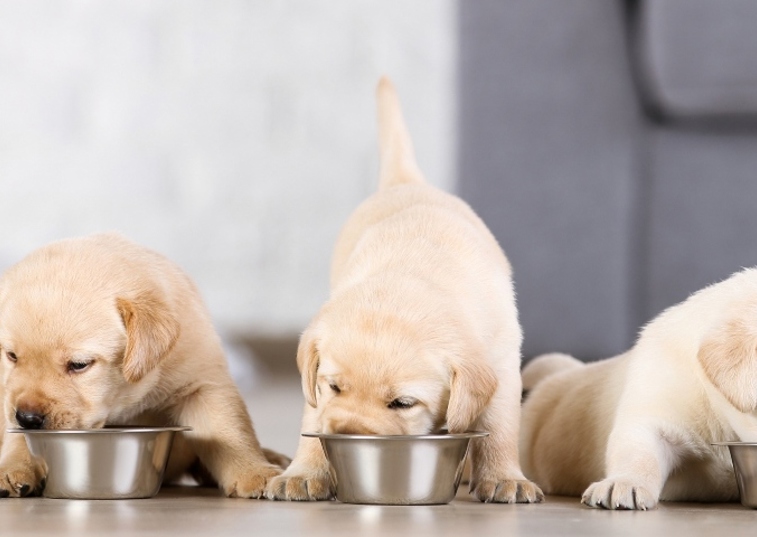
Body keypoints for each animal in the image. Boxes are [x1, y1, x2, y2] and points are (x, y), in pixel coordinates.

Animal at [0, 237, 290, 496]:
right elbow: (18, 436)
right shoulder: (8, 393)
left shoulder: (201, 384)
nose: (27, 418)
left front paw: (255, 472)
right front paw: (13, 468)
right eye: (12, 356)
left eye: (79, 365)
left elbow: (229, 430)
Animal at [262, 77, 540, 504]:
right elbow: (313, 416)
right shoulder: (318, 387)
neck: (410, 277)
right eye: (335, 386)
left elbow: (500, 427)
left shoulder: (504, 363)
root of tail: (408, 182)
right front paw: (305, 471)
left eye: (403, 403)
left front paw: (505, 477)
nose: (347, 433)